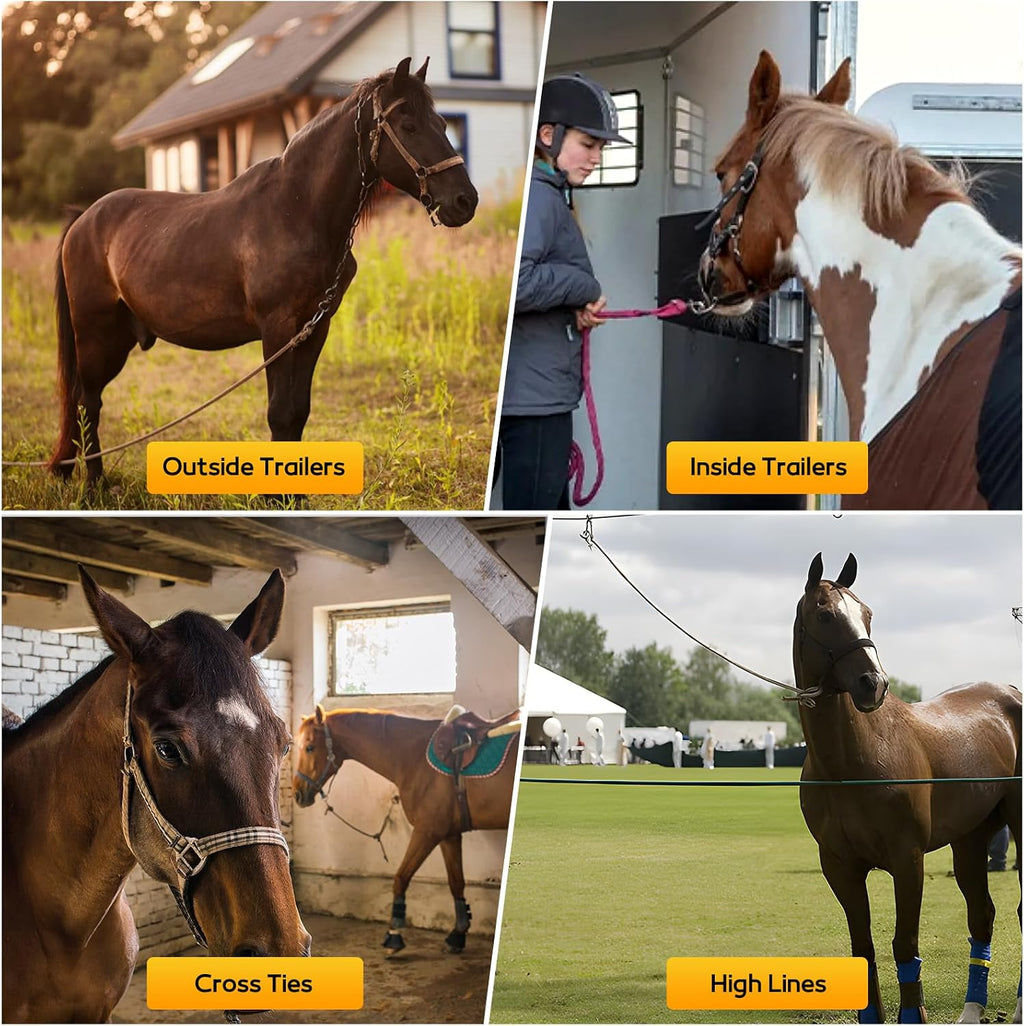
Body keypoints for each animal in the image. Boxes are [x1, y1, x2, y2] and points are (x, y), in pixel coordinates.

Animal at [49, 56, 478, 484]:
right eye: (409, 126)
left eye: (442, 124)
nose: (465, 201)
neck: (296, 210)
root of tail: (83, 219)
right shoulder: (277, 329)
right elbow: (280, 413)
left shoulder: (314, 330)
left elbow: (298, 413)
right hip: (94, 334)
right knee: (87, 404)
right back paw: (96, 485)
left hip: (119, 337)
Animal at [293, 705, 518, 954]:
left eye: (310, 747)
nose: (298, 793)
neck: (414, 758)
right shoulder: (449, 835)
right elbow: (456, 882)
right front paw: (457, 935)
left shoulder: (427, 831)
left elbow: (401, 877)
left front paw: (394, 935)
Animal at [794, 552, 1021, 1024]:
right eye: (825, 615)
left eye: (867, 614)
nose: (873, 684)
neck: (850, 764)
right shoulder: (839, 866)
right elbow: (863, 949)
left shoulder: (907, 858)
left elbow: (904, 945)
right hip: (970, 839)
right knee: (981, 914)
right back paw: (971, 1009)